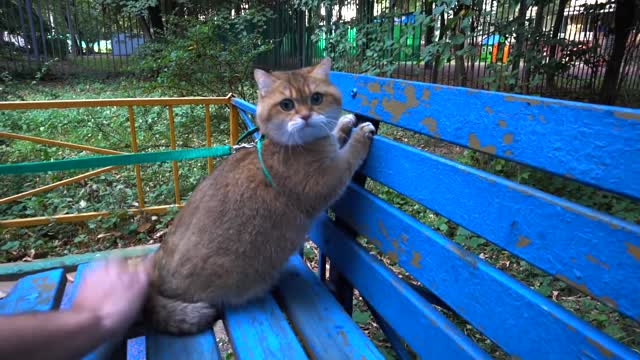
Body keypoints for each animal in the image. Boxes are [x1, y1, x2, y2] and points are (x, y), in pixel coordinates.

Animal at [145, 57, 376, 334]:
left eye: (316, 98)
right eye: (286, 104)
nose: (306, 116)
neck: (291, 146)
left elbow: (334, 135)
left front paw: (343, 123)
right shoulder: (328, 179)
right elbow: (350, 155)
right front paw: (360, 133)